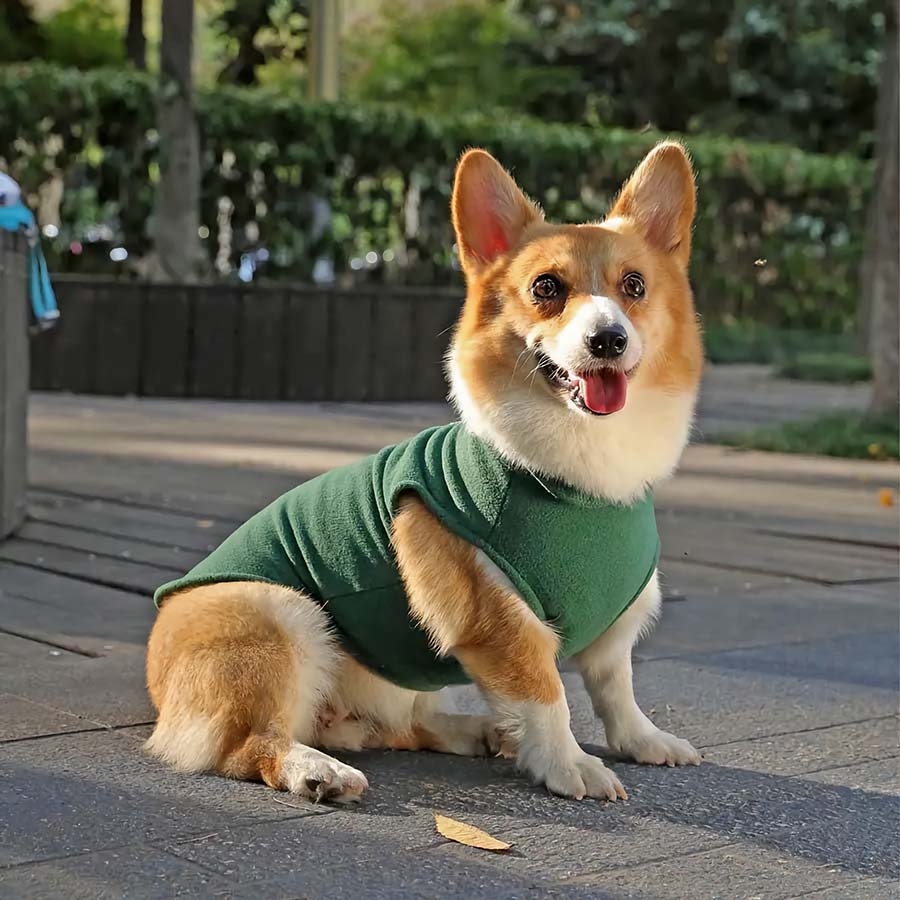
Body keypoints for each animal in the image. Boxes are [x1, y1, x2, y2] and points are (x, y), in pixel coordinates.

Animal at [146, 141, 704, 800]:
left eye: (634, 285)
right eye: (546, 286)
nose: (609, 340)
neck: (577, 479)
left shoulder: (615, 633)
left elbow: (616, 690)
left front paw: (643, 741)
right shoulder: (501, 625)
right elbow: (549, 698)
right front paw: (572, 766)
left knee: (400, 726)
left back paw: (477, 732)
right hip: (282, 614)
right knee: (249, 743)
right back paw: (316, 770)